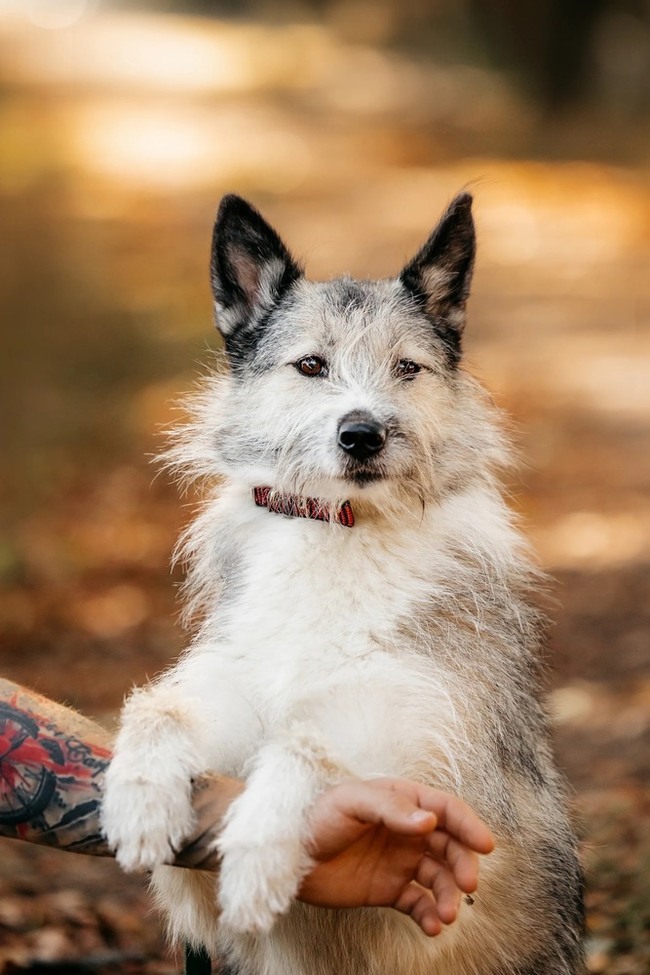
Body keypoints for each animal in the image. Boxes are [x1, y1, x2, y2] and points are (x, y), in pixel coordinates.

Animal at [100, 194, 584, 975]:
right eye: (310, 364)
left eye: (407, 368)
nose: (363, 433)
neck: (340, 531)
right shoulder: (235, 687)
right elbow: (161, 708)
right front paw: (138, 795)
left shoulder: (437, 759)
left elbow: (308, 743)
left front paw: (260, 848)